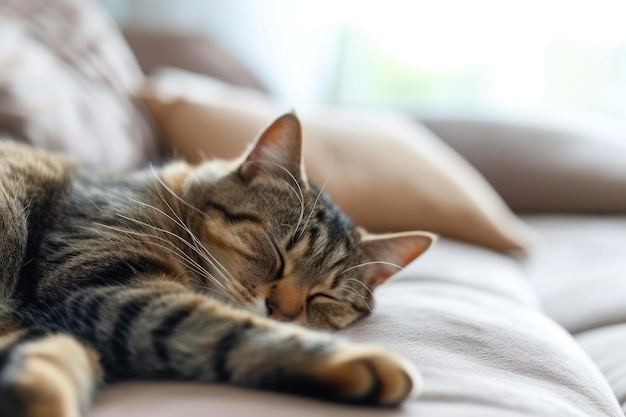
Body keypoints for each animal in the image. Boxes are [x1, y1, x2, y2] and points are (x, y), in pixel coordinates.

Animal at [0, 113, 434, 416]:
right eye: (277, 252)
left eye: (325, 296)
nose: (282, 312)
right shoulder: (106, 286)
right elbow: (225, 326)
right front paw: (356, 360)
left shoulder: (72, 314)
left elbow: (53, 360)